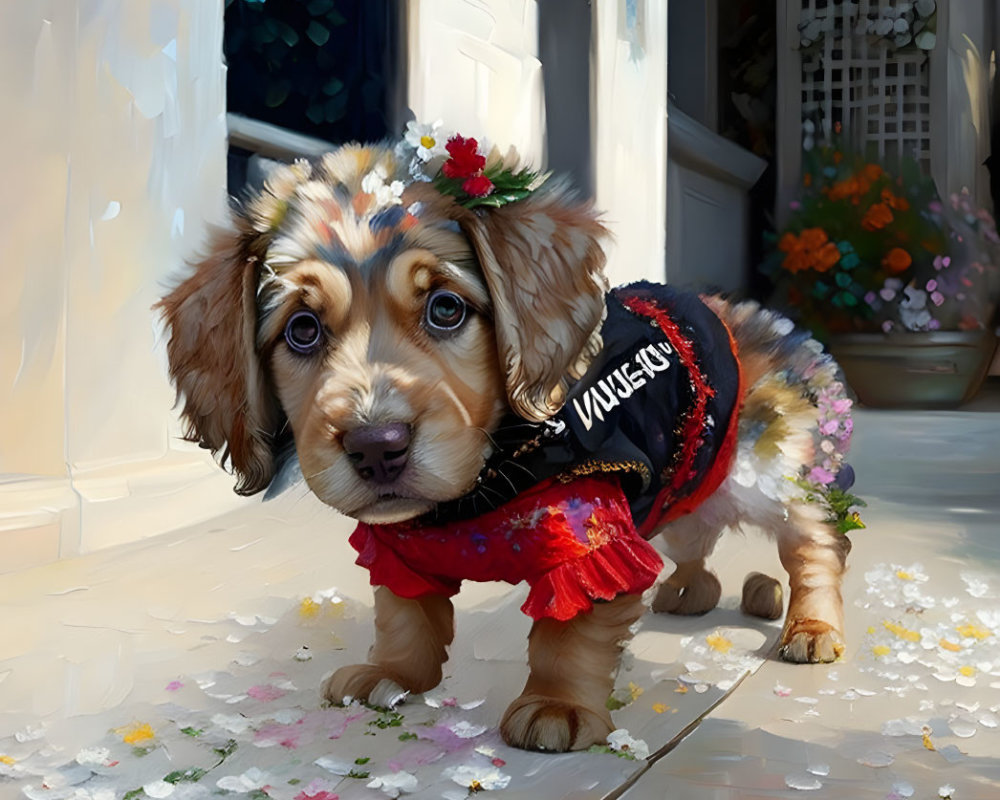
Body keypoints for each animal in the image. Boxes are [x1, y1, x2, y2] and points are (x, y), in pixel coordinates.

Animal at [160, 139, 856, 756]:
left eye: (446, 309)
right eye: (302, 330)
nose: (376, 446)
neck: (480, 483)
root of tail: (752, 317)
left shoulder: (591, 537)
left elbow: (569, 630)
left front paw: (557, 704)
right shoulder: (399, 548)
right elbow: (403, 616)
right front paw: (392, 673)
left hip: (771, 470)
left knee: (815, 545)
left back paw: (813, 625)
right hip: (685, 483)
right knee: (694, 531)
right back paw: (690, 590)